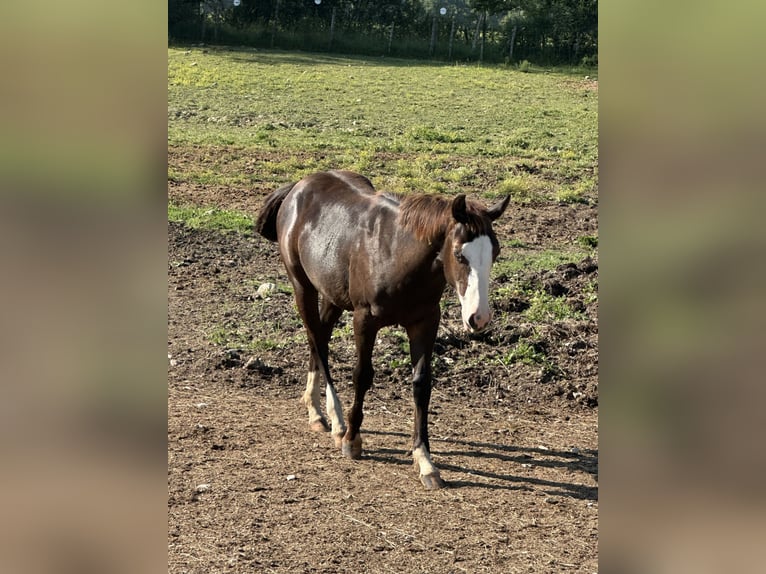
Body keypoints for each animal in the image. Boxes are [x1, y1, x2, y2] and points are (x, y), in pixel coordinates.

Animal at [255, 170, 509, 489]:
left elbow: (421, 385)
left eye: (495, 253)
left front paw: (425, 461)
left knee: (320, 337)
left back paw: (316, 411)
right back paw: (336, 421)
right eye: (460, 255)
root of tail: (299, 187)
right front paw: (352, 440)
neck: (395, 254)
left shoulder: (425, 322)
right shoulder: (364, 319)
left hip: (331, 294)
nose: (479, 318)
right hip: (303, 286)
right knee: (316, 337)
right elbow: (362, 375)